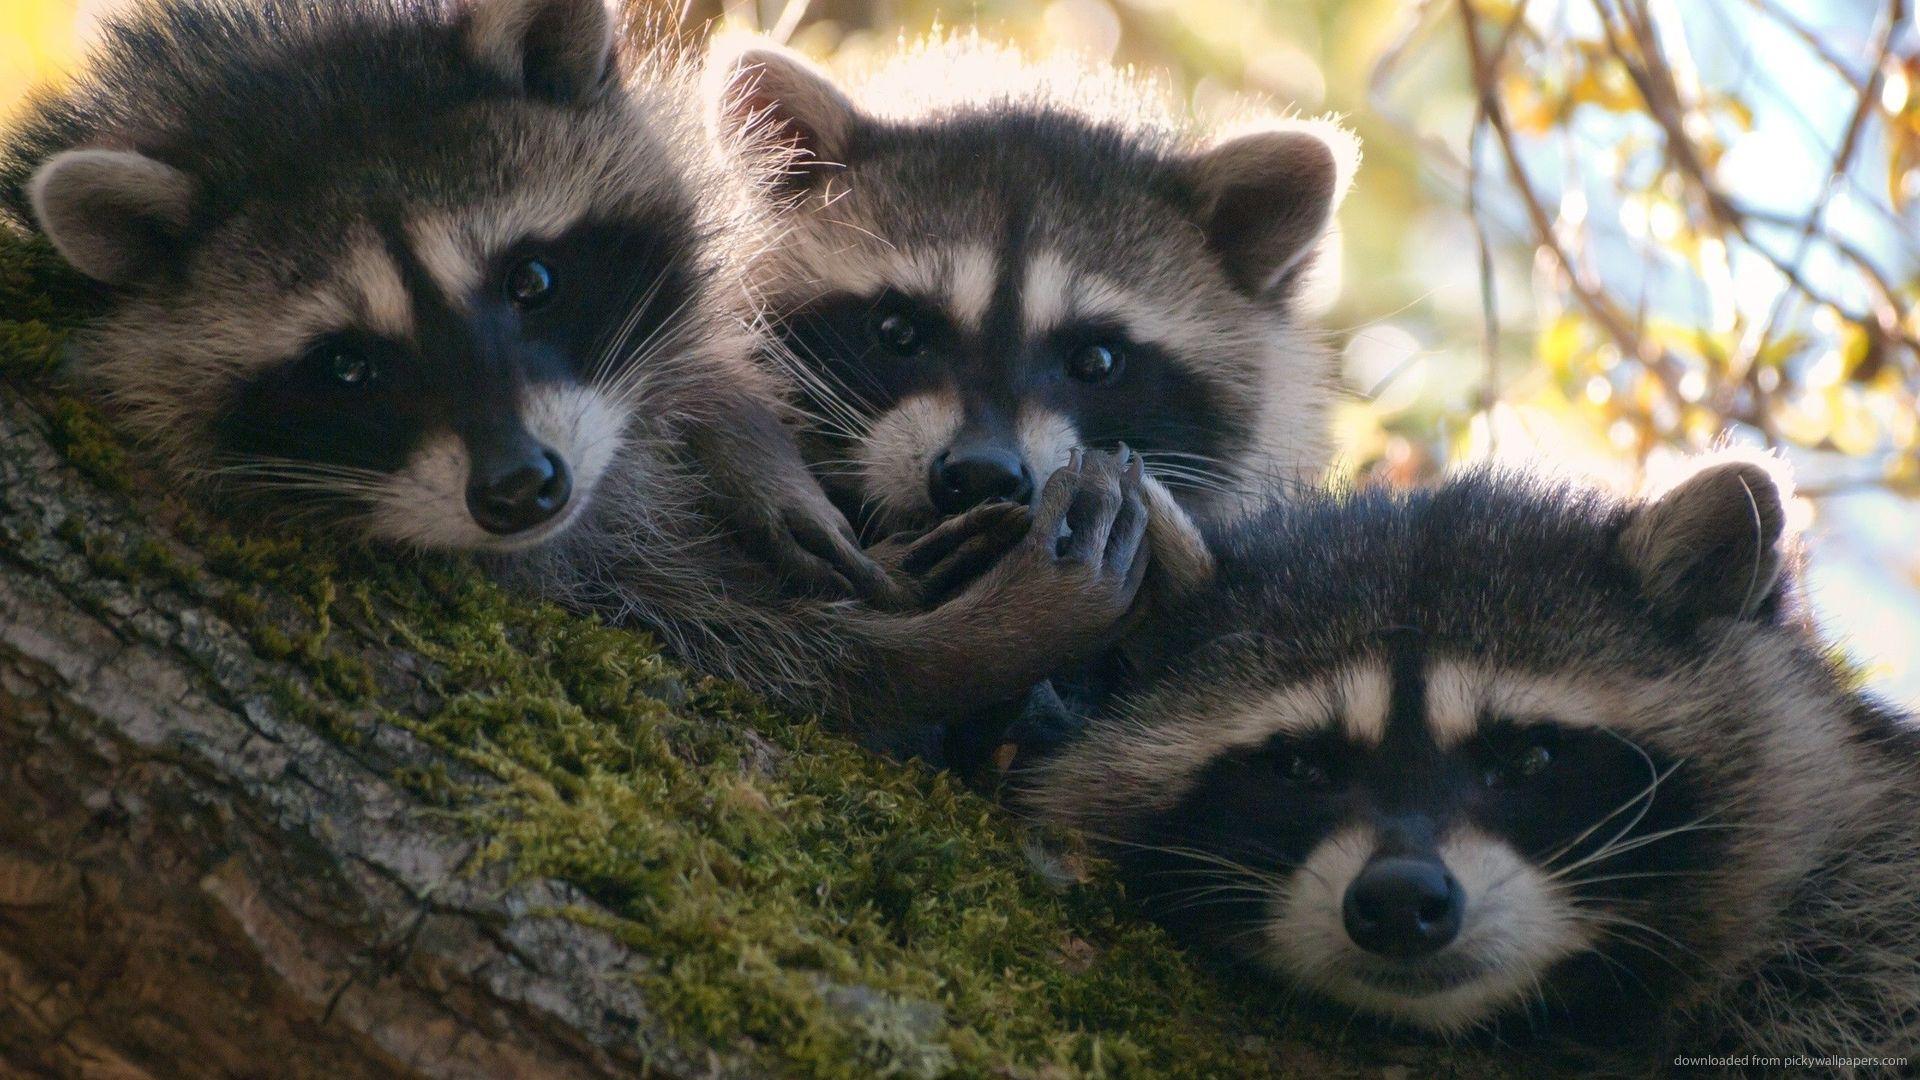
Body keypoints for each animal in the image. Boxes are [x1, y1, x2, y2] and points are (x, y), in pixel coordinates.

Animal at [1, 0, 1156, 733]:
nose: (522, 488)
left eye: (533, 280)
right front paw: (960, 648)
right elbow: (764, 656)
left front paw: (747, 443)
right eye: (346, 366)